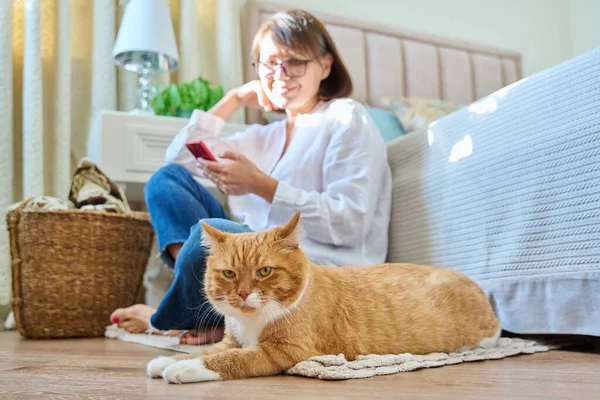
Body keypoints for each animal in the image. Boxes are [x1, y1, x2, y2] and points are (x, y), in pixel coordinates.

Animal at [148, 212, 500, 384]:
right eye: (230, 273)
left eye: (264, 271)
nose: (244, 293)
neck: (253, 321)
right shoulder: (230, 340)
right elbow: (208, 350)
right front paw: (168, 359)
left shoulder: (287, 350)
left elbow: (234, 359)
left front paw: (187, 368)